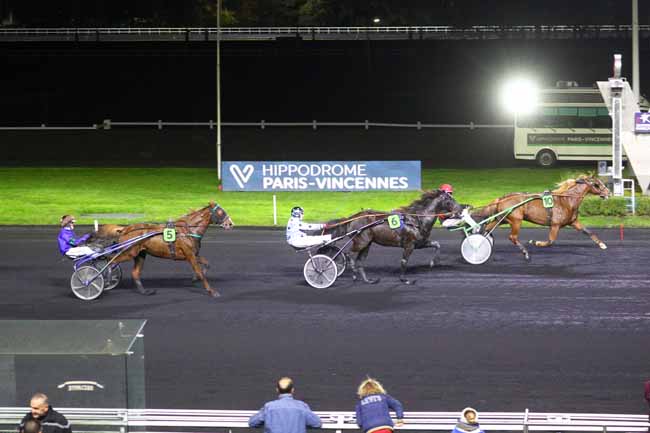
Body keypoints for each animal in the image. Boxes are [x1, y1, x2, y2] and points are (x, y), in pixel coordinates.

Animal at [92, 201, 232, 296]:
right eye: (220, 212)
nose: (230, 223)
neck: (189, 230)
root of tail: (125, 229)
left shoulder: (193, 254)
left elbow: (207, 264)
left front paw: (194, 279)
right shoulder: (189, 255)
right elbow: (199, 272)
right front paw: (212, 291)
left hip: (140, 254)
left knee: (135, 272)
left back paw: (144, 291)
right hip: (129, 252)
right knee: (111, 260)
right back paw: (105, 278)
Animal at [324, 189, 460, 284]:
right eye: (450, 200)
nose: (459, 210)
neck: (417, 220)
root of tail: (352, 218)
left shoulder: (420, 243)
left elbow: (437, 244)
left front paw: (432, 263)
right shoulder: (409, 245)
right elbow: (404, 261)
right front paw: (404, 279)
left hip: (367, 244)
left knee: (360, 260)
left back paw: (368, 280)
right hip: (361, 241)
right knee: (349, 254)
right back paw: (352, 274)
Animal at [470, 176, 608, 260]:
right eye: (597, 184)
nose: (608, 193)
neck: (567, 200)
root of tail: (502, 198)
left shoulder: (573, 222)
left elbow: (588, 231)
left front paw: (602, 245)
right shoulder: (555, 225)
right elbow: (550, 241)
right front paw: (535, 242)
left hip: (502, 218)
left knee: (487, 229)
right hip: (516, 220)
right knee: (512, 237)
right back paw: (525, 253)